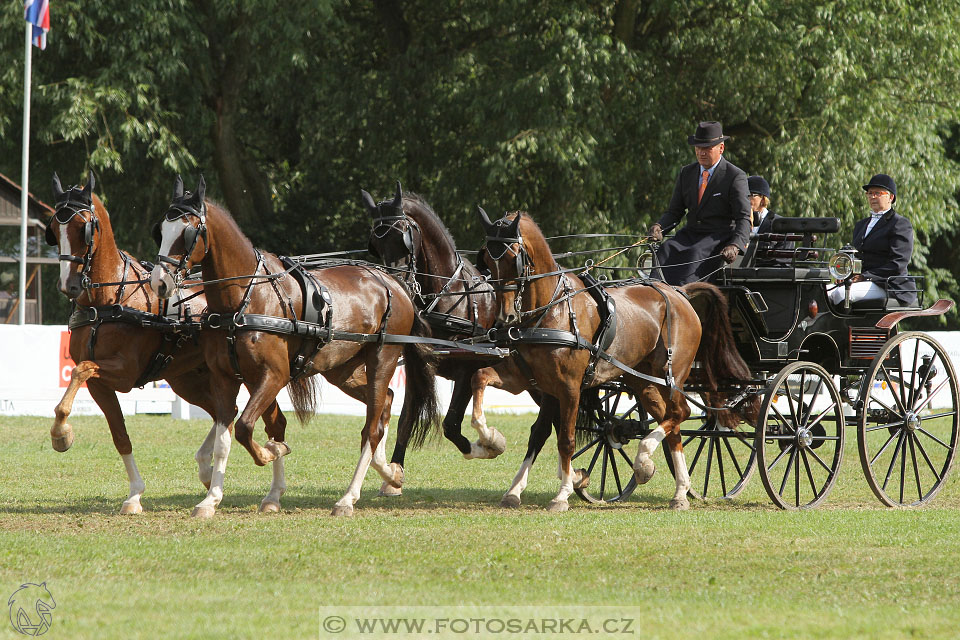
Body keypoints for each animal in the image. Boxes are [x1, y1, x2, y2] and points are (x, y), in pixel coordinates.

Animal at [44, 175, 288, 516]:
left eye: (83, 228)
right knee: (227, 413)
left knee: (268, 421)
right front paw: (134, 494)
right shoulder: (100, 385)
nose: (70, 285)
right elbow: (120, 435)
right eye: (54, 230)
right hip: (187, 379)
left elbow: (82, 368)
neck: (108, 300)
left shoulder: (124, 373)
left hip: (252, 376)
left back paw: (270, 487)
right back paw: (208, 471)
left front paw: (61, 435)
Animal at [150, 175, 438, 516]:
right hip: (343, 371)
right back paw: (389, 473)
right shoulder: (226, 379)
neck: (246, 298)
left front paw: (271, 453)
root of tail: (393, 283)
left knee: (371, 428)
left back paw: (348, 498)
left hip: (383, 358)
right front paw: (214, 499)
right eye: (160, 231)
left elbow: (246, 427)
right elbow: (230, 437)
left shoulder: (273, 375)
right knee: (386, 403)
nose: (159, 282)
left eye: (188, 231)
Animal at [364, 180, 560, 496]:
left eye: (402, 235)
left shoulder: (466, 369)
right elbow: (406, 419)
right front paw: (394, 476)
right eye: (376, 243)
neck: (449, 294)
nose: (397, 283)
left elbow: (451, 425)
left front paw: (490, 444)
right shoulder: (420, 367)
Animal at [476, 210, 752, 510]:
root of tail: (680, 293)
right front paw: (497, 455)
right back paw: (677, 489)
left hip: (672, 376)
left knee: (681, 413)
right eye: (487, 259)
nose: (505, 318)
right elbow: (528, 426)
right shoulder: (535, 383)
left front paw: (562, 494)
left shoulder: (569, 388)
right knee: (673, 423)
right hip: (643, 380)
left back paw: (646, 462)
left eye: (513, 257)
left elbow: (566, 440)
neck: (553, 308)